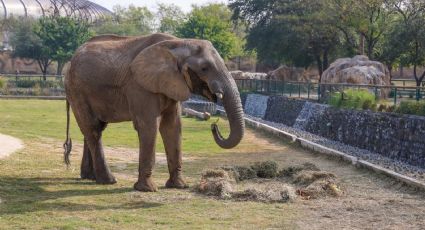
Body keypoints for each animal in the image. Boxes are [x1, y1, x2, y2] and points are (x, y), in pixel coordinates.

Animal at [64, 32, 247, 192]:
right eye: (204, 68)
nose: (214, 126)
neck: (179, 43)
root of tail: (70, 61)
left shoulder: (171, 84)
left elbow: (173, 126)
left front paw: (179, 186)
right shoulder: (140, 85)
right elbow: (149, 126)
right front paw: (147, 189)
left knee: (94, 129)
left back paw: (89, 177)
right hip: (77, 90)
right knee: (93, 129)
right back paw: (108, 180)